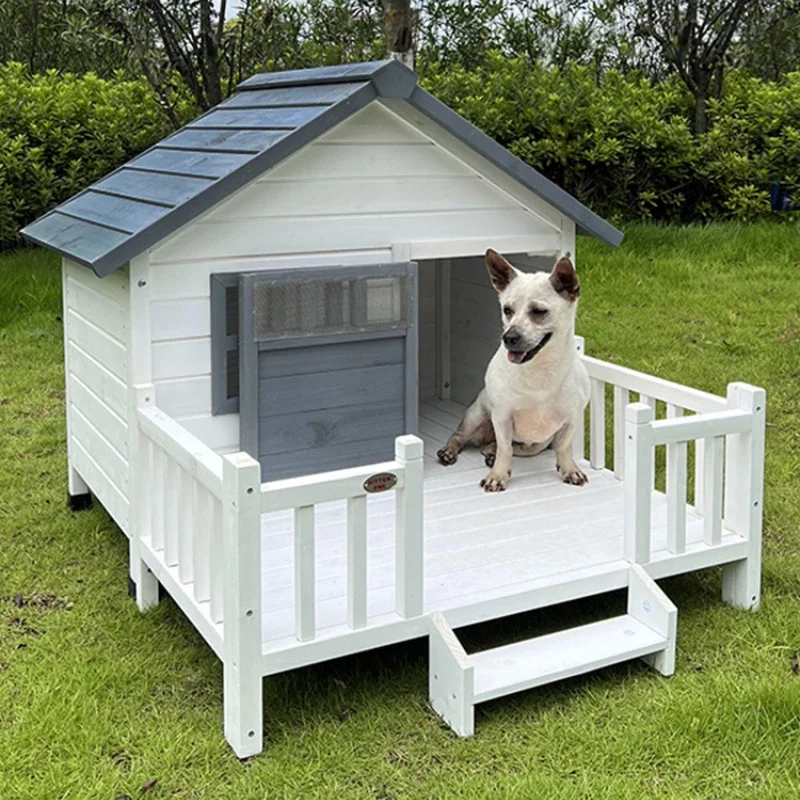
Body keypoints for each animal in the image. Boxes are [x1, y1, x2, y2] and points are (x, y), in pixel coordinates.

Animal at [438, 247, 588, 490]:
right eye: (507, 310)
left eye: (538, 311)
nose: (508, 337)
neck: (539, 370)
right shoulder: (502, 416)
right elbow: (505, 449)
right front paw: (497, 476)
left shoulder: (571, 419)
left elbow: (564, 447)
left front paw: (570, 469)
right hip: (476, 417)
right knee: (460, 436)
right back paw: (450, 452)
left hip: (536, 444)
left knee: (508, 447)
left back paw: (489, 451)